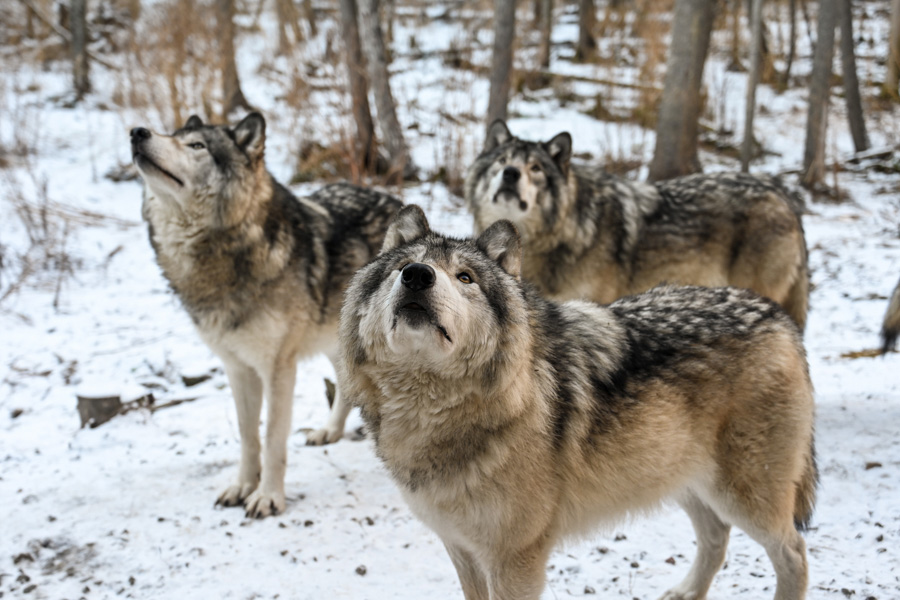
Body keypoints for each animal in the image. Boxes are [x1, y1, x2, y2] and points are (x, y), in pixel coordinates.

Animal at [129, 112, 400, 516]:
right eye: (172, 135)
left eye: (197, 146)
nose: (137, 132)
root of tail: (398, 202)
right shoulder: (237, 368)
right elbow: (248, 436)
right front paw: (242, 486)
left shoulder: (277, 370)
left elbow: (272, 439)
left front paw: (268, 497)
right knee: (343, 383)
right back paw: (329, 431)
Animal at [342, 206, 820, 600]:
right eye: (402, 268)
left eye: (464, 277)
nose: (417, 275)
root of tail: (779, 317)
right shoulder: (461, 549)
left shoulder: (515, 559)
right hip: (686, 481)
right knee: (717, 539)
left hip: (745, 497)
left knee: (795, 553)